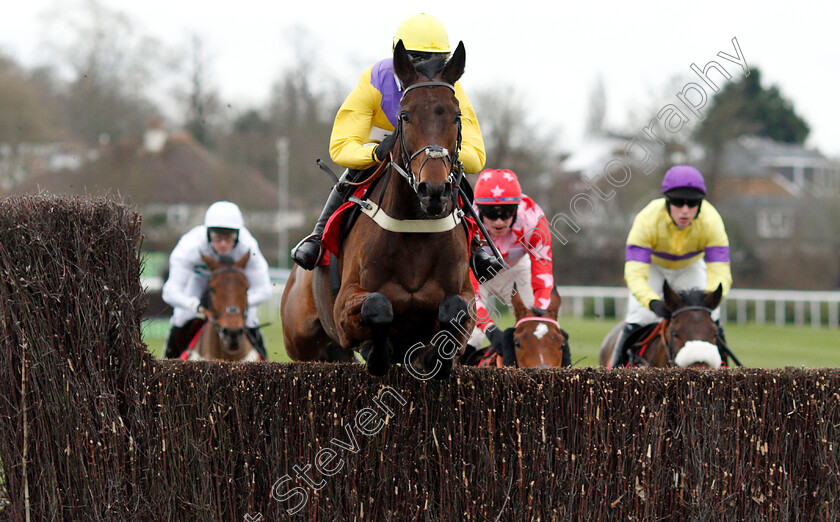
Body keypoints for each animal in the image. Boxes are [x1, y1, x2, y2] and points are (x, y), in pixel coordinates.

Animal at [282, 39, 476, 374]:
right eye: (406, 115)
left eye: (456, 116)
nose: (433, 191)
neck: (416, 229)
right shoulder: (345, 306)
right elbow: (378, 306)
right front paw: (378, 351)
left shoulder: (465, 302)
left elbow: (454, 310)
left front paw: (432, 357)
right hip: (305, 344)